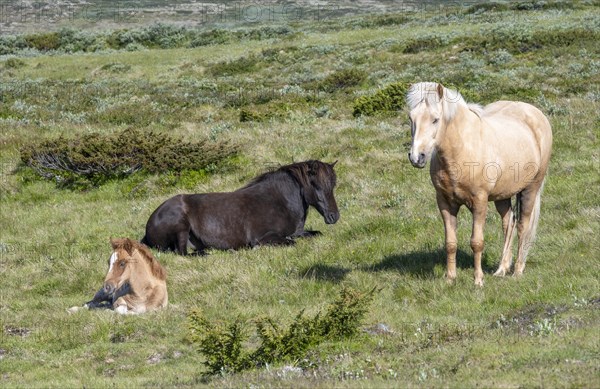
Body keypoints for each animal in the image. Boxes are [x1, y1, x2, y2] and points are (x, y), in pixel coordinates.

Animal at [139, 159, 338, 253]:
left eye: (333, 184)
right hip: (181, 227)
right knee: (182, 253)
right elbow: (290, 242)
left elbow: (312, 234)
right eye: (316, 185)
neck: (280, 201)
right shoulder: (265, 237)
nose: (334, 216)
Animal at [406, 82, 552, 284]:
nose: (416, 157)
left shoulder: (479, 202)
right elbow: (450, 243)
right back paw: (501, 269)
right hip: (502, 196)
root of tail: (536, 114)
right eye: (411, 117)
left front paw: (478, 280)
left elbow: (477, 242)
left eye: (435, 119)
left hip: (531, 188)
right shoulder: (445, 203)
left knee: (523, 225)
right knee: (509, 223)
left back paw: (517, 271)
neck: (463, 149)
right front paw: (450, 278)